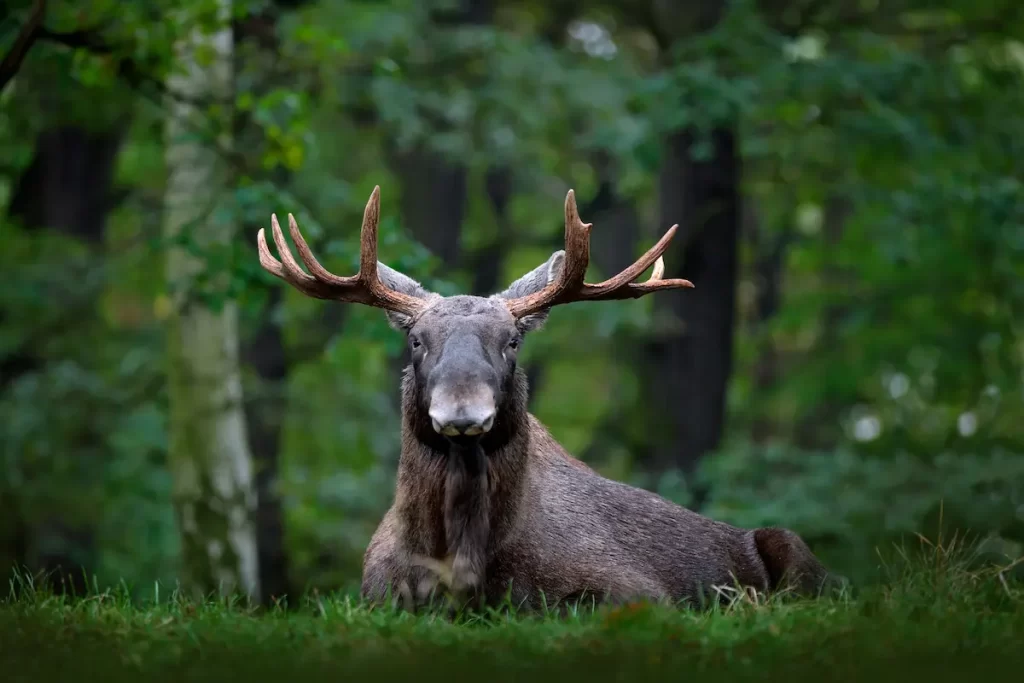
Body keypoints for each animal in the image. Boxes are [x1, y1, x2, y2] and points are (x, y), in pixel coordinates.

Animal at [256, 185, 831, 610]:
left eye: (512, 340)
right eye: (416, 340)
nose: (462, 411)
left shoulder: (639, 591)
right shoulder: (375, 593)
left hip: (798, 554)